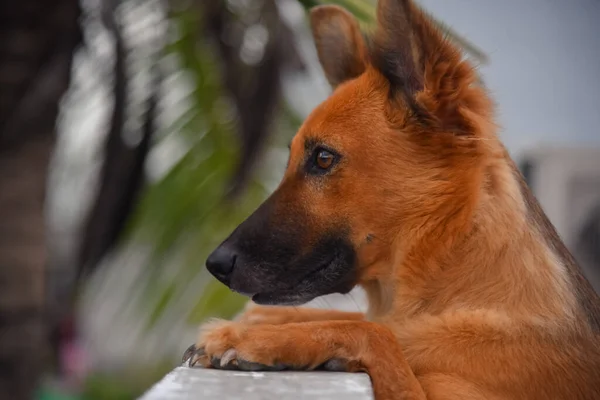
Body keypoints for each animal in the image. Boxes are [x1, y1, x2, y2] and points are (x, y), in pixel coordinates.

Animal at [182, 1, 600, 398]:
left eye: (323, 158)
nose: (215, 264)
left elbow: (374, 333)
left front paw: (259, 338)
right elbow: (365, 323)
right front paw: (267, 322)